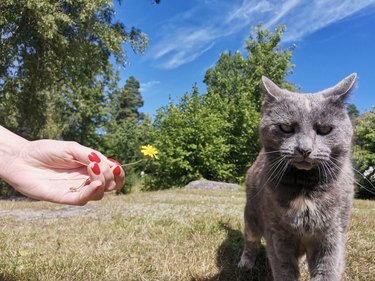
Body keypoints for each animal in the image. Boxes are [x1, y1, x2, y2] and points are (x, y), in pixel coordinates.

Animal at [241, 74, 358, 280]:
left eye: (325, 129)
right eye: (286, 127)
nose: (305, 149)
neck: (305, 189)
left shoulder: (333, 235)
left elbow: (328, 270)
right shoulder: (277, 235)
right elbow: (284, 270)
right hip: (251, 213)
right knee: (250, 239)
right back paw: (245, 263)